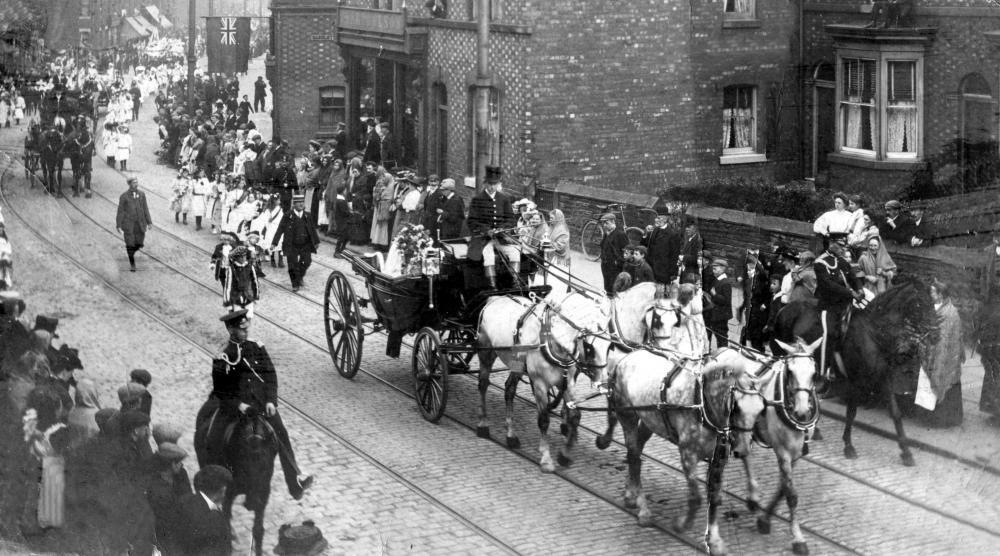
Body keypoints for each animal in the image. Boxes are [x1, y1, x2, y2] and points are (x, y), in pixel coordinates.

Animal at [474, 288, 612, 472]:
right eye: (590, 348)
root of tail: (495, 298)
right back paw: (483, 424)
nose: (603, 383)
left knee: (509, 390)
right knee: (483, 385)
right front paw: (546, 459)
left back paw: (511, 435)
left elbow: (575, 416)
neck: (552, 340)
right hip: (486, 354)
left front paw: (564, 455)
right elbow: (544, 420)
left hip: (517, 365)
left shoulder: (567, 383)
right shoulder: (539, 384)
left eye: (610, 347)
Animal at [712, 338, 820, 556]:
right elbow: (791, 495)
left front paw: (765, 519)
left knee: (744, 452)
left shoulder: (796, 453)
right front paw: (798, 539)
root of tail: (723, 348)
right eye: (790, 371)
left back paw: (753, 498)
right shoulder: (783, 451)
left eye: (814, 372)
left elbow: (782, 488)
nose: (802, 411)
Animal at [772, 280, 936, 466]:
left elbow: (895, 412)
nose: (935, 331)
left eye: (932, 301)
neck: (873, 333)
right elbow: (851, 413)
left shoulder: (884, 378)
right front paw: (849, 446)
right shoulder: (856, 381)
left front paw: (906, 452)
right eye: (920, 303)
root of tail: (784, 309)